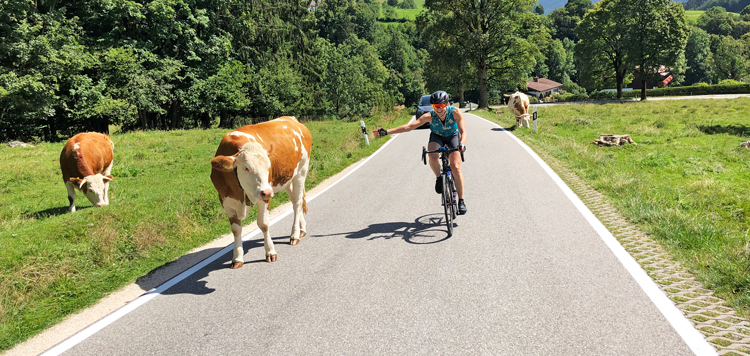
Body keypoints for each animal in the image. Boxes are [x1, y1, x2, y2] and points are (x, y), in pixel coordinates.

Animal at [210, 117, 312, 270]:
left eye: (268, 166)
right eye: (246, 168)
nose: (268, 192)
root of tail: (292, 119)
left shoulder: (264, 198)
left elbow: (263, 224)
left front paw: (270, 252)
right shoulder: (225, 201)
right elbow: (236, 230)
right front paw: (237, 258)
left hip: (301, 172)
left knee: (297, 203)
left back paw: (294, 235)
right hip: (287, 178)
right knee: (296, 202)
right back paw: (302, 229)